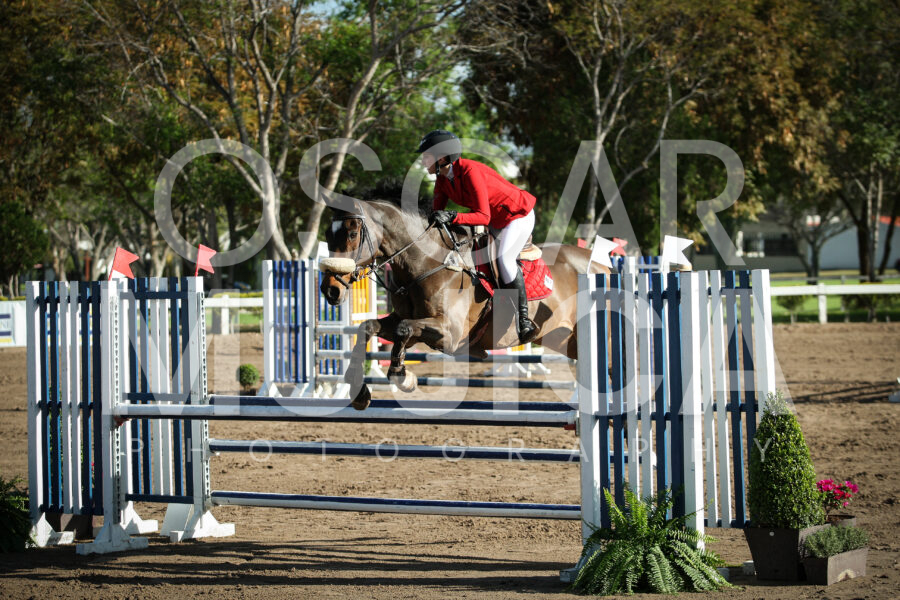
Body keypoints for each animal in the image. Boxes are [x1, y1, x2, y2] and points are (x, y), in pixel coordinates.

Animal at [319, 199, 609, 410]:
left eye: (352, 233)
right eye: (328, 235)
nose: (330, 290)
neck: (426, 264)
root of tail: (602, 265)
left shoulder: (450, 334)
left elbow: (403, 329)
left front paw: (403, 376)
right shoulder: (410, 325)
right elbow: (368, 327)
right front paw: (359, 392)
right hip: (566, 339)